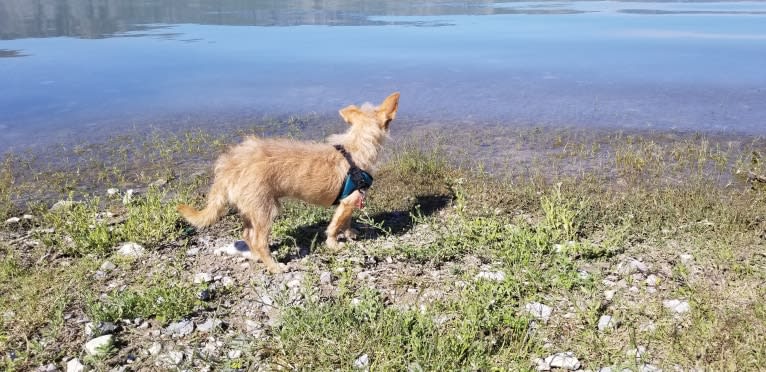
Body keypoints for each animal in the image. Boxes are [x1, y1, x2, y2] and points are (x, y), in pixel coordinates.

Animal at [179, 92, 402, 274]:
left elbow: (346, 221)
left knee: (247, 235)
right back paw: (274, 266)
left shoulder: (348, 201)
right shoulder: (349, 200)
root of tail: (230, 165)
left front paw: (349, 233)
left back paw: (256, 257)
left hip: (251, 208)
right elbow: (334, 226)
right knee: (259, 240)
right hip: (266, 209)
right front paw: (334, 243)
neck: (355, 148)